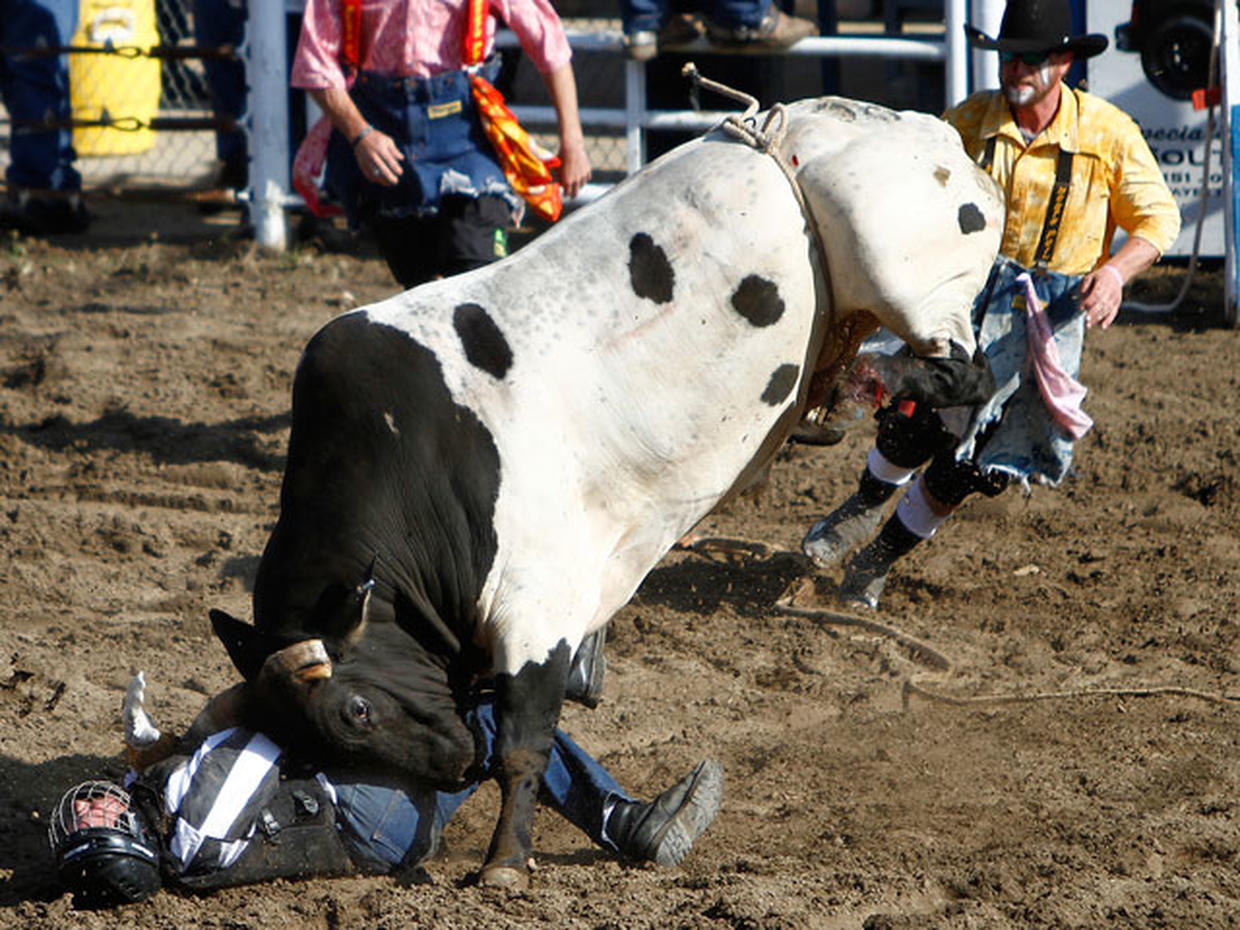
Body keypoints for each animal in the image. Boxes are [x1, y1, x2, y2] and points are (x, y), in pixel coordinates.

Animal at [210, 98, 1006, 892]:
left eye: (357, 711)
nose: (454, 764)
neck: (419, 461)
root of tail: (923, 130)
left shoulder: (537, 608)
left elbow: (524, 744)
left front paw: (505, 863)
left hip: (904, 281)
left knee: (968, 375)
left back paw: (863, 388)